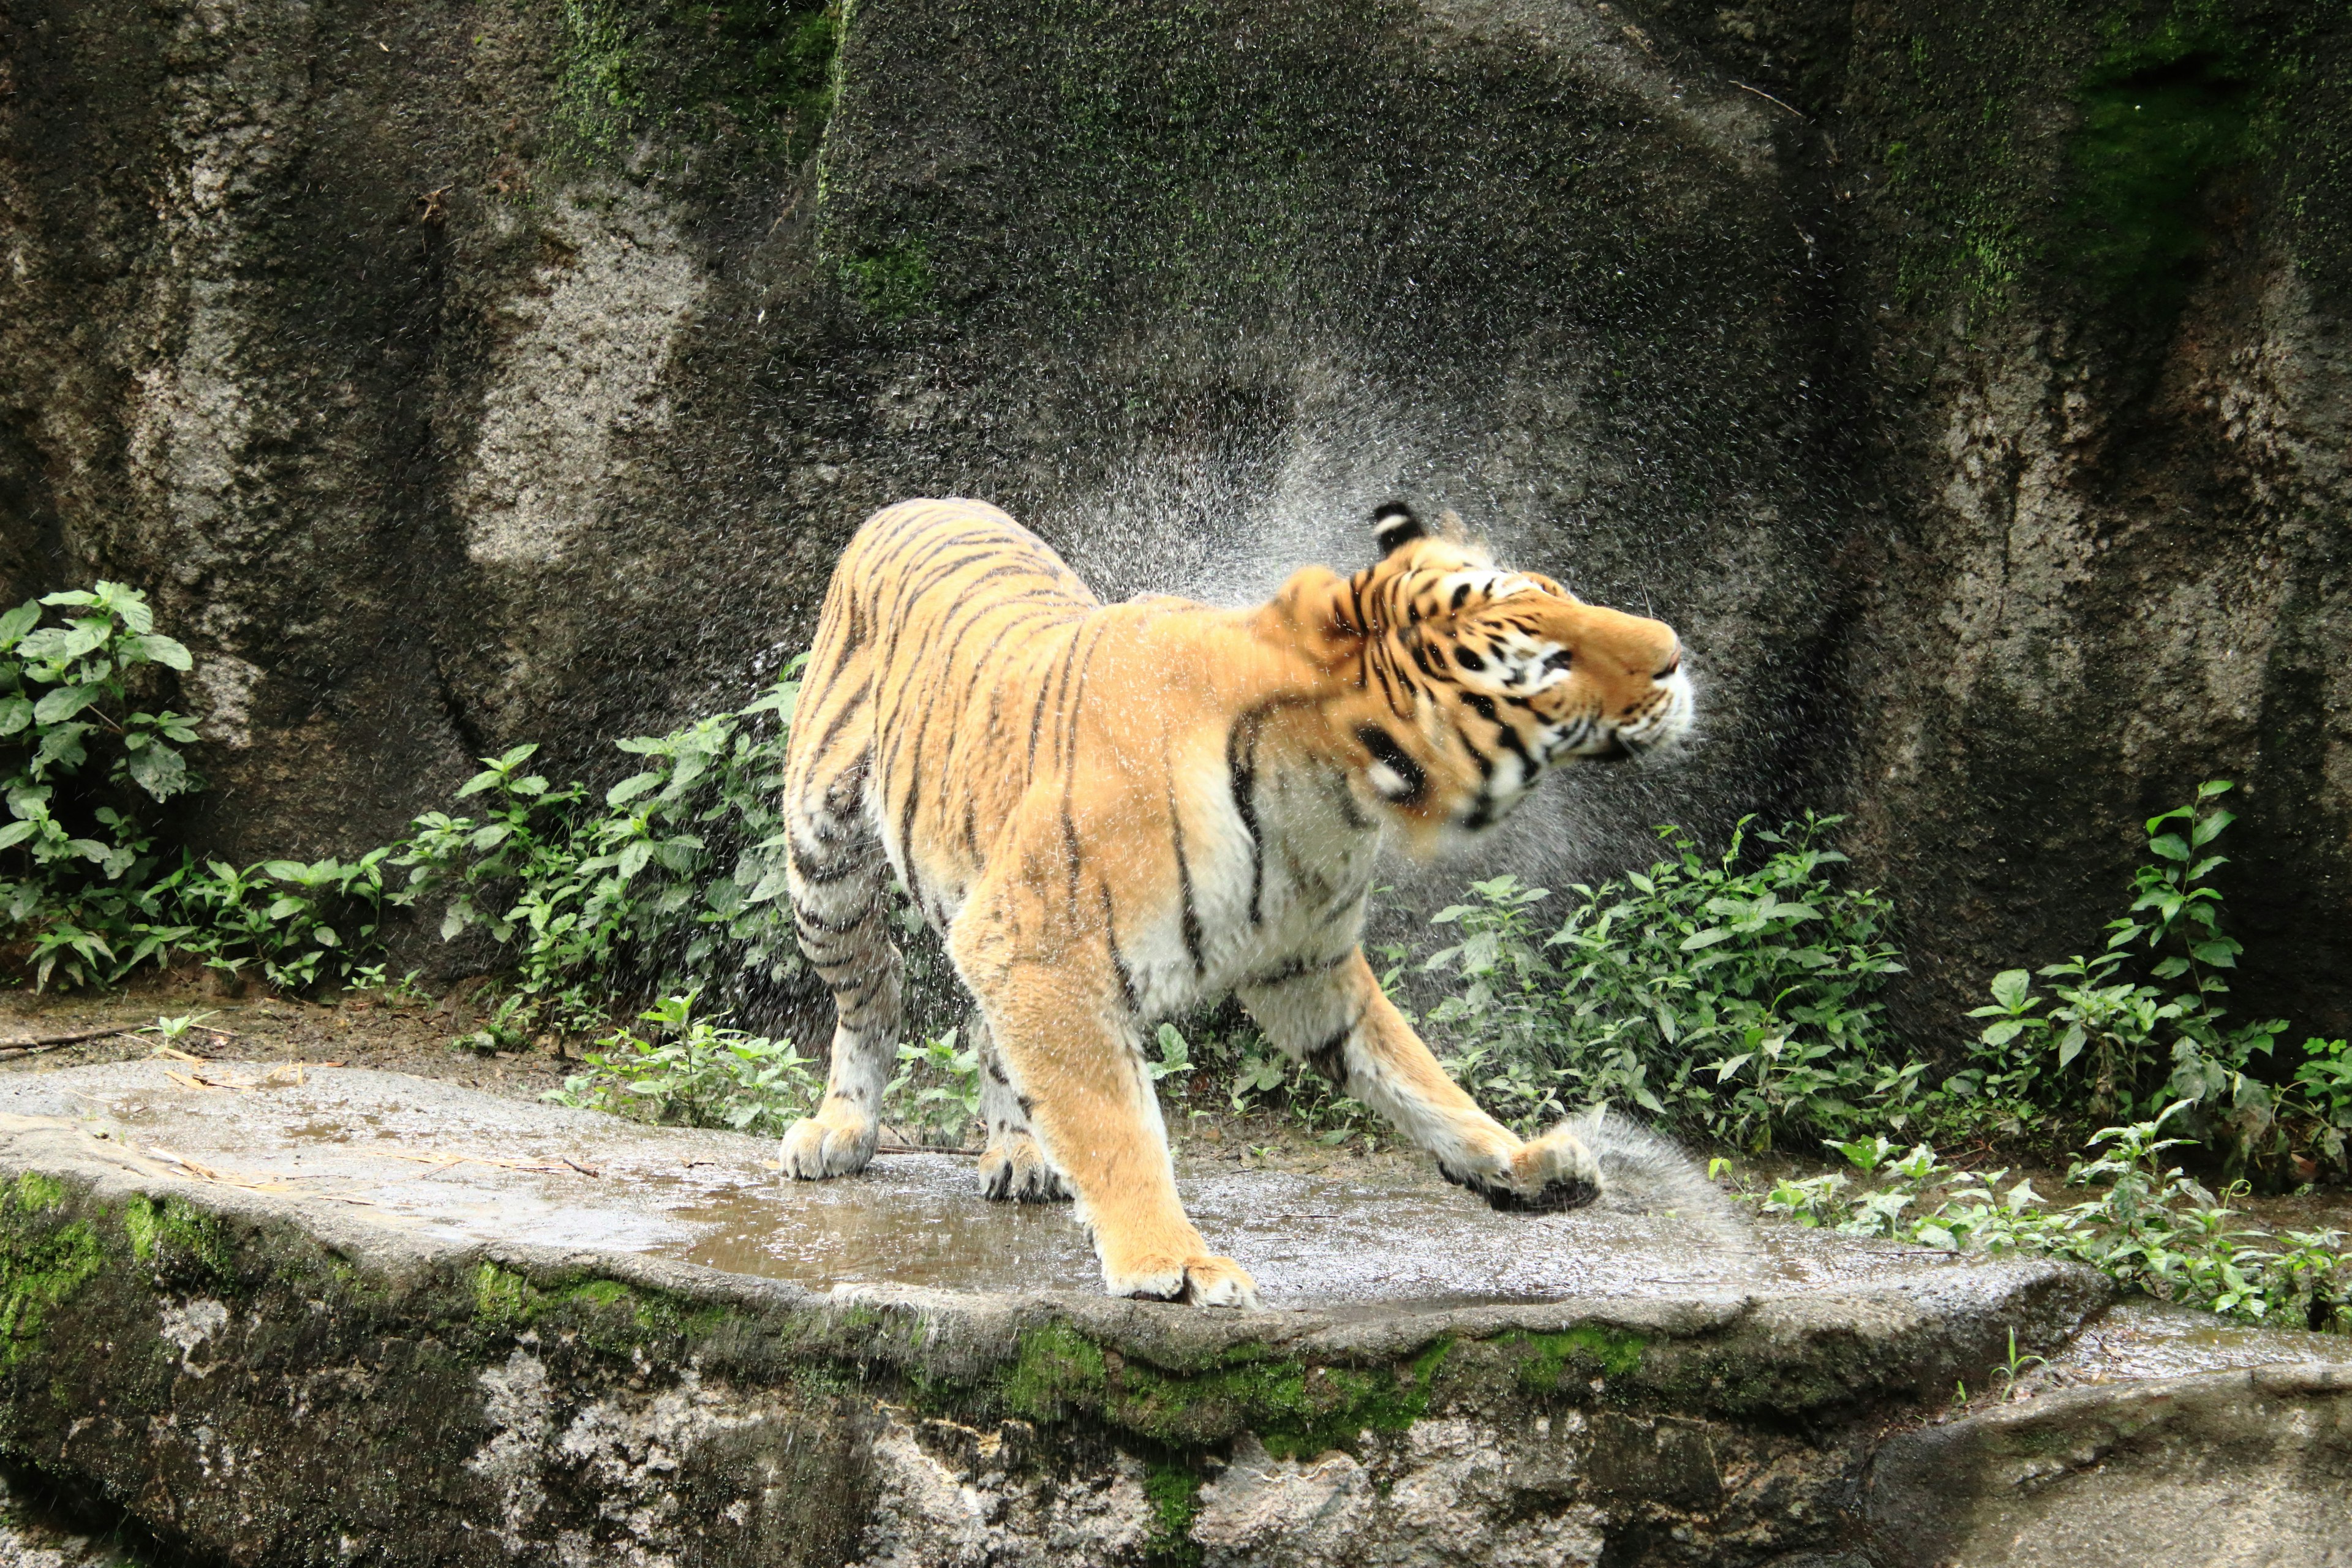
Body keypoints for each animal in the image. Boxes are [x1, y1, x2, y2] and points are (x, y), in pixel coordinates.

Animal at [785, 496, 1693, 1306]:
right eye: (1547, 664)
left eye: (1561, 591)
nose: (1676, 653)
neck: (1338, 790)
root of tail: (920, 500)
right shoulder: (1037, 949)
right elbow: (1116, 1125)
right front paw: (1172, 1263)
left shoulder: (1309, 965)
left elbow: (1415, 1073)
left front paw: (1524, 1165)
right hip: (823, 863)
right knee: (876, 983)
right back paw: (840, 1132)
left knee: (985, 1027)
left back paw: (1020, 1153)